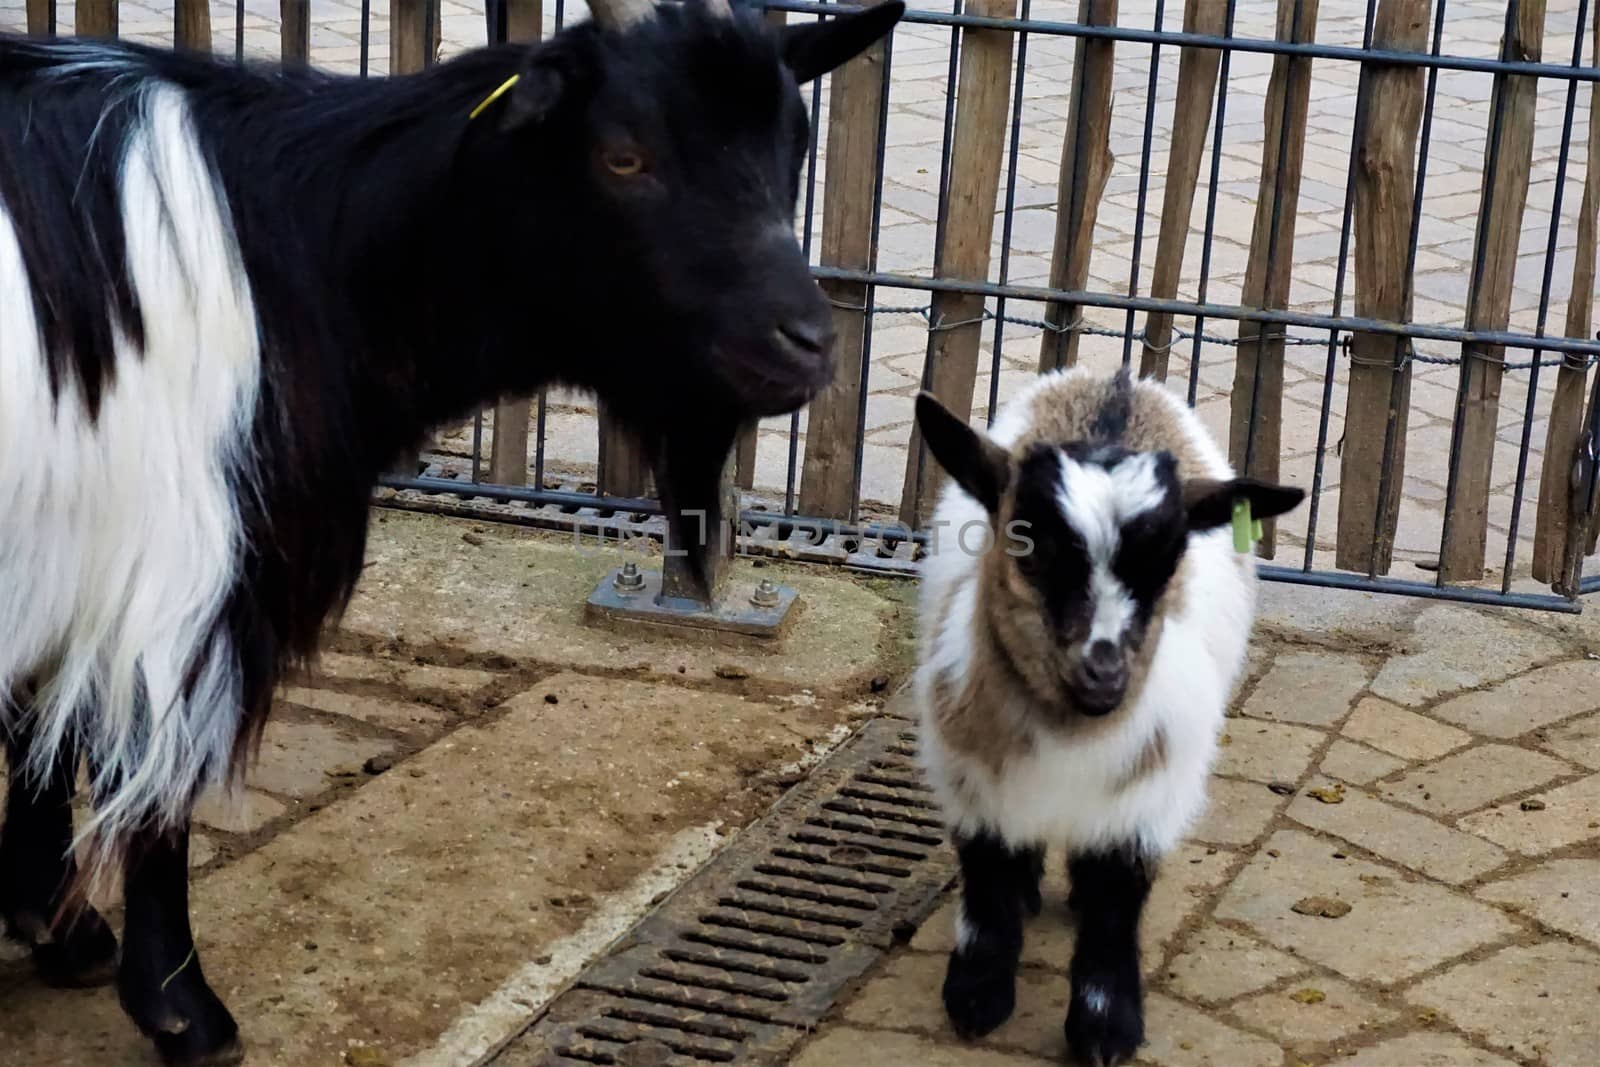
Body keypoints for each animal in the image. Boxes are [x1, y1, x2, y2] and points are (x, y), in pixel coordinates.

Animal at [0, 4, 902, 1062]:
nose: (807, 343)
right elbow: (148, 773)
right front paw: (183, 1008)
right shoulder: (181, 552)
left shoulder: (75, 540)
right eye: (623, 155)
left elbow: (43, 720)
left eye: (792, 148)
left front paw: (55, 927)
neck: (297, 240)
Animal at [915, 369, 1299, 1067]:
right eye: (1027, 543)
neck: (1070, 734)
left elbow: (1115, 900)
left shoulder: (1145, 795)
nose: (1104, 675)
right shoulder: (969, 774)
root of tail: (1116, 381)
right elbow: (987, 880)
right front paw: (977, 998)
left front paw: (1104, 1028)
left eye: (1169, 561)